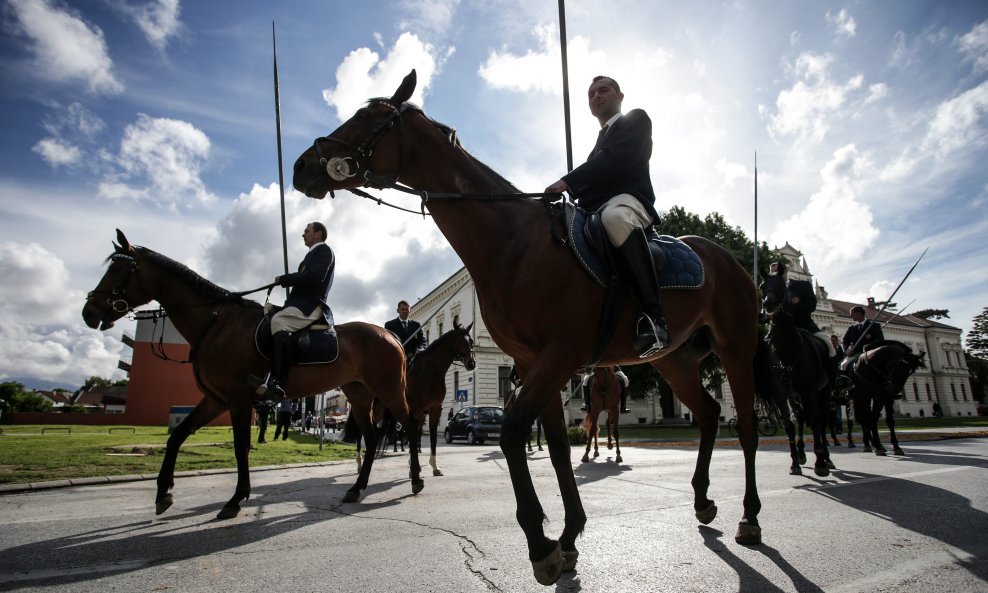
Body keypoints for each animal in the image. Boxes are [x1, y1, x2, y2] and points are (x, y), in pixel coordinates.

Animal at [83, 229, 422, 516]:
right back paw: (356, 488)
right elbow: (177, 435)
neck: (216, 322)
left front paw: (235, 499)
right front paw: (163, 493)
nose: (89, 313)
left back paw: (416, 478)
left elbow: (240, 446)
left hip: (390, 389)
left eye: (117, 271)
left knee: (409, 424)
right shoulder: (216, 399)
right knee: (372, 437)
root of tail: (391, 336)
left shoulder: (238, 399)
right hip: (359, 395)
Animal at [290, 69, 768, 584]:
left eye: (367, 116)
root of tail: (727, 259)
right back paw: (702, 499)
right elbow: (557, 447)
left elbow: (512, 432)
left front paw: (541, 545)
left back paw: (749, 516)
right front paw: (569, 536)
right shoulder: (535, 361)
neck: (513, 240)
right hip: (674, 361)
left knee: (745, 426)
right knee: (708, 413)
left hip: (736, 348)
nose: (301, 166)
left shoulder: (559, 356)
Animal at [756, 270, 832, 474]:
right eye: (762, 286)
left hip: (824, 392)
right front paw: (795, 462)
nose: (768, 306)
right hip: (795, 395)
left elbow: (814, 420)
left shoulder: (811, 388)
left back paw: (826, 457)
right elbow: (789, 423)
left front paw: (820, 463)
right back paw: (802, 454)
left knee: (820, 420)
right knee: (800, 417)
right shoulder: (781, 392)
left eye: (782, 286)